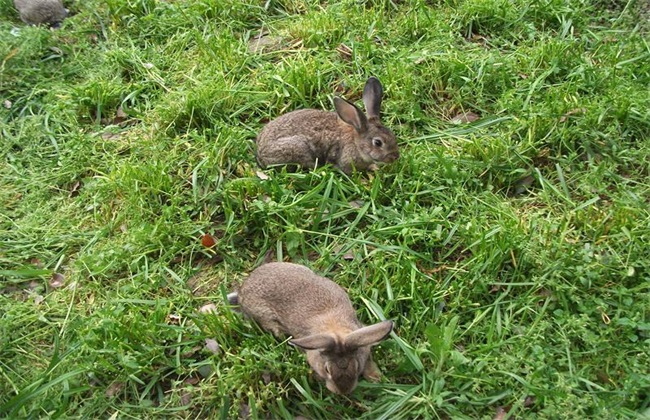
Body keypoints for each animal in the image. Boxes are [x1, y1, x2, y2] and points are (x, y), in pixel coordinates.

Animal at [228, 260, 390, 396]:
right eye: (327, 370)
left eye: (356, 367)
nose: (343, 392)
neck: (335, 329)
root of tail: (242, 293)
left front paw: (376, 377)